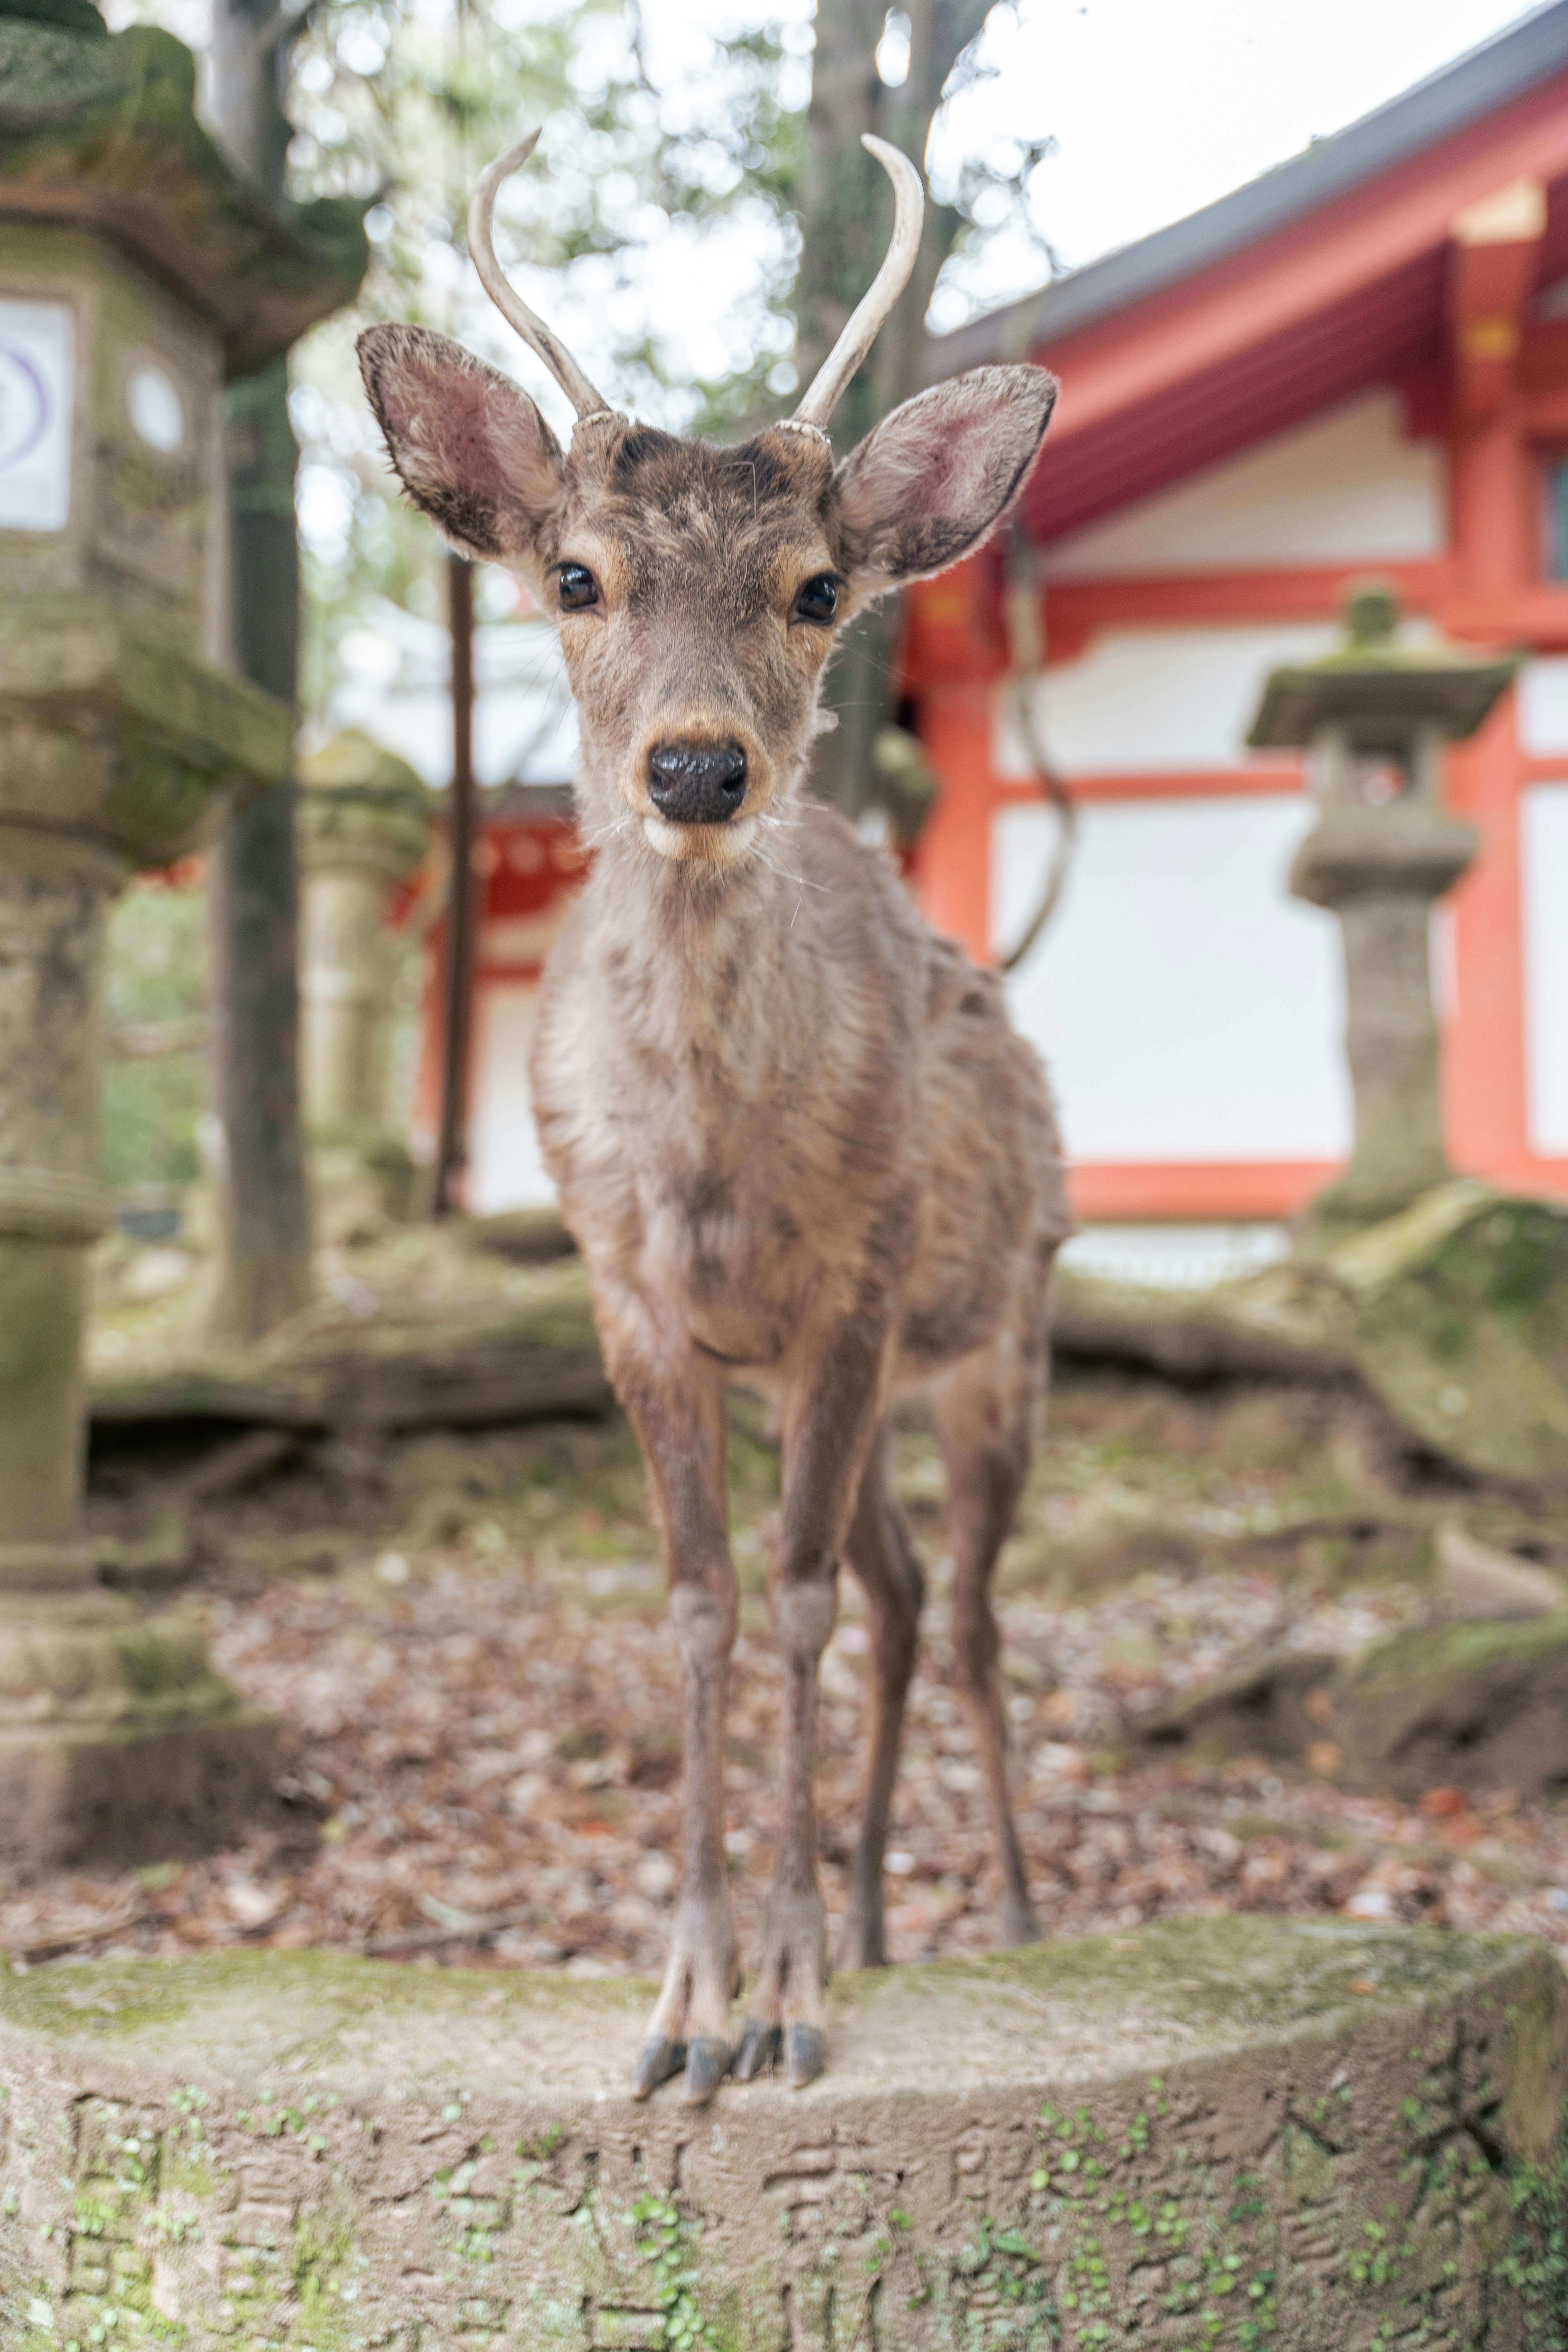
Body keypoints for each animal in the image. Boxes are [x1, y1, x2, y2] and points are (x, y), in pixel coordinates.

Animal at [358, 127, 1072, 2108]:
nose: (693, 766)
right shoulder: (631, 1296)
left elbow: (799, 1595)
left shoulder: (860, 1278)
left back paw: (999, 1906)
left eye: (819, 587)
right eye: (573, 576)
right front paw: (685, 2000)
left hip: (1000, 1331)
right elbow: (702, 1602)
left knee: (961, 1610)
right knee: (903, 1592)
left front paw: (786, 1990)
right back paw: (892, 1910)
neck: (710, 1171)